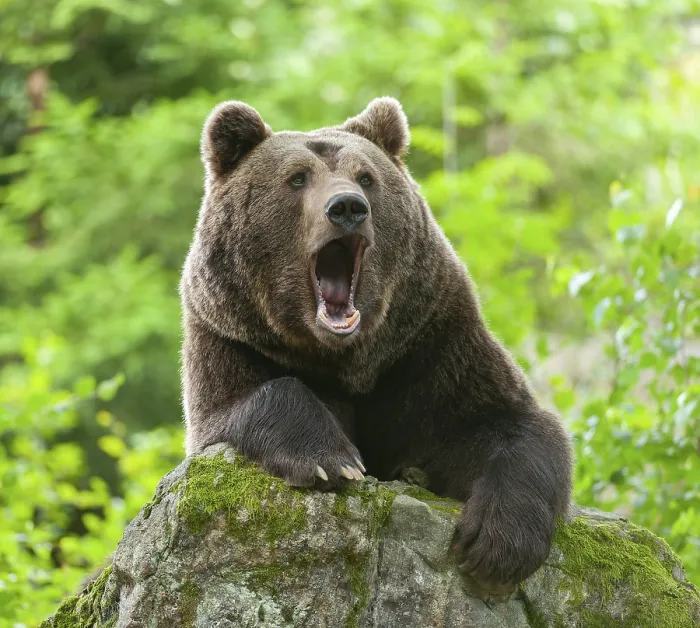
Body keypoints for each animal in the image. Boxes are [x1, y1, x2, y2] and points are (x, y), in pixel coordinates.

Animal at [180, 96, 573, 592]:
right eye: (298, 177)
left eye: (366, 176)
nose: (347, 207)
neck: (342, 356)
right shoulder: (230, 337)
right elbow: (234, 407)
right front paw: (332, 458)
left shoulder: (428, 345)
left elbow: (513, 424)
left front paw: (497, 543)